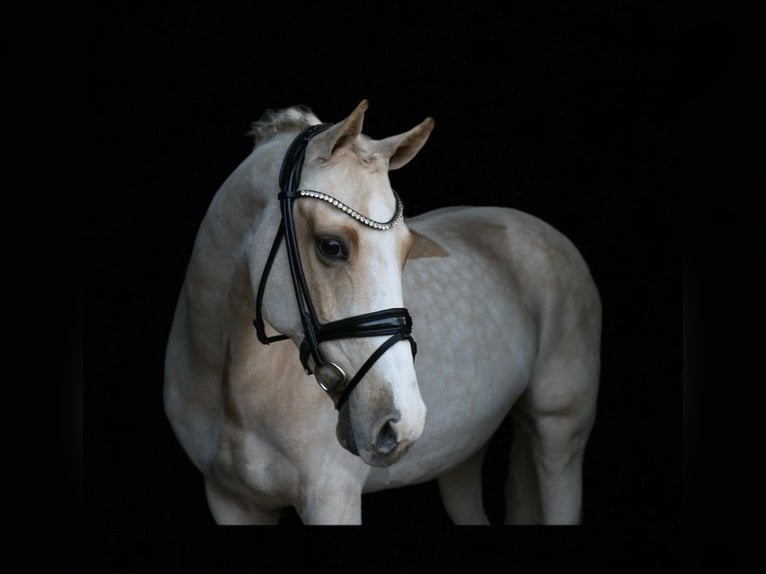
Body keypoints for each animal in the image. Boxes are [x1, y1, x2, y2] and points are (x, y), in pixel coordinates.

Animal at [165, 100, 604, 528]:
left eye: (407, 249)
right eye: (331, 246)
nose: (402, 422)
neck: (233, 386)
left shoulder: (332, 499)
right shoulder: (231, 502)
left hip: (560, 435)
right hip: (463, 454)